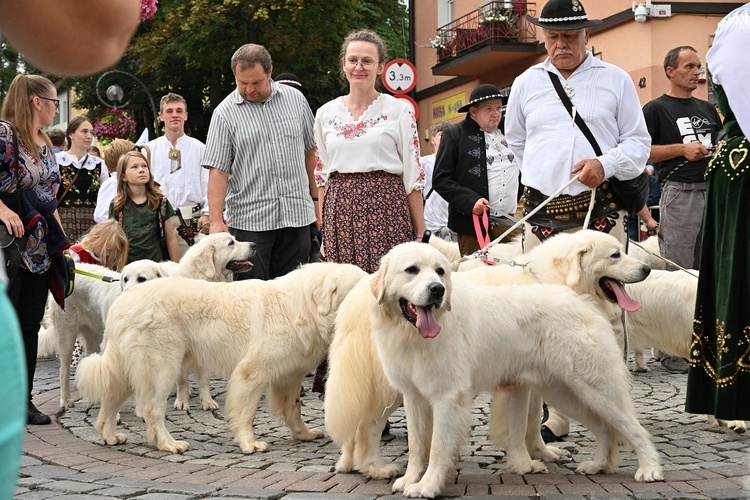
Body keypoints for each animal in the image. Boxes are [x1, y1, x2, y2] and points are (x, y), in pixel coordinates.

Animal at [370, 242, 664, 496]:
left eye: (440, 271)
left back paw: (650, 469)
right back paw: (597, 466)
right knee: (604, 430)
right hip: (568, 393)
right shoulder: (414, 398)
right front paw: (410, 479)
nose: (437, 290)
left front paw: (426, 486)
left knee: (634, 429)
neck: (411, 334)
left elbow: (438, 448)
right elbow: (417, 446)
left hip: (596, 390)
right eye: (412, 270)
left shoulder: (447, 397)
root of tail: (583, 302)